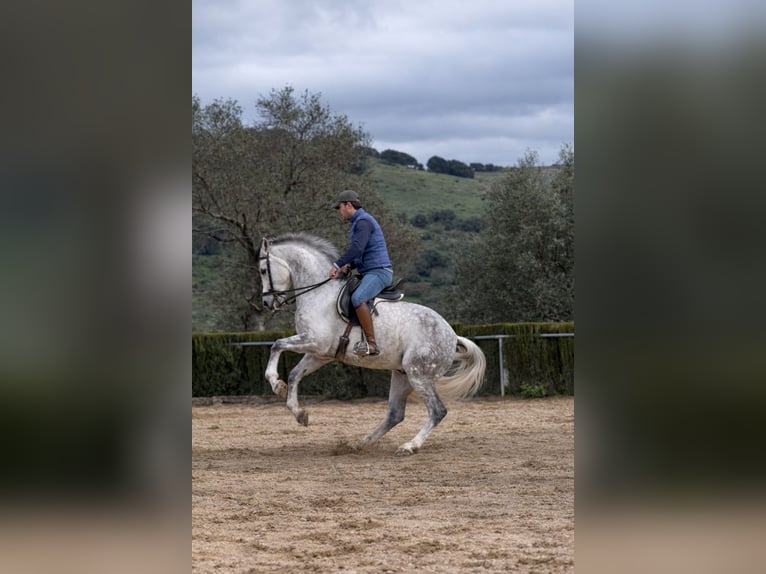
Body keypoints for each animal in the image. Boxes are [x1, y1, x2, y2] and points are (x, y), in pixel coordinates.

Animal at [257, 232, 486, 456]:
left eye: (262, 270)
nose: (267, 303)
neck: (318, 294)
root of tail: (452, 335)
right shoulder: (319, 353)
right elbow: (295, 374)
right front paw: (298, 413)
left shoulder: (314, 341)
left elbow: (277, 344)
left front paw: (274, 382)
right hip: (402, 375)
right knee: (395, 414)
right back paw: (360, 443)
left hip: (418, 374)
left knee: (437, 411)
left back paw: (408, 446)